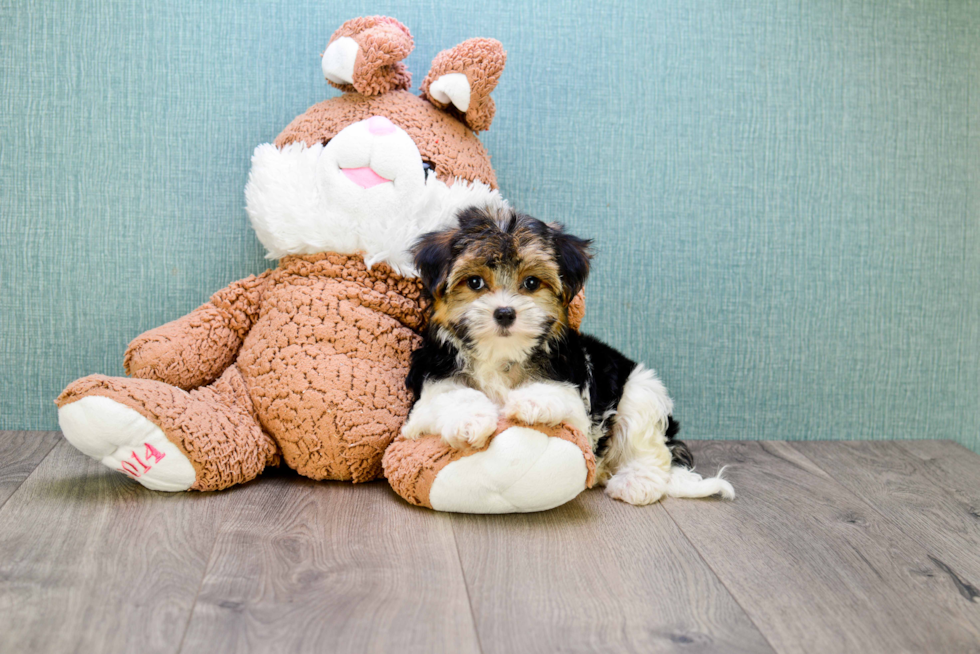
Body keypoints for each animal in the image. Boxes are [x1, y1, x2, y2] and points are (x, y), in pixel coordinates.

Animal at [402, 205, 732, 508]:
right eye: (474, 283)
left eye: (531, 283)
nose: (505, 313)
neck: (502, 354)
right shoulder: (432, 386)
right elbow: (451, 395)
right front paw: (469, 421)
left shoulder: (577, 406)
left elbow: (556, 393)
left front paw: (531, 401)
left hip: (641, 388)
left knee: (649, 445)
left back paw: (636, 483)